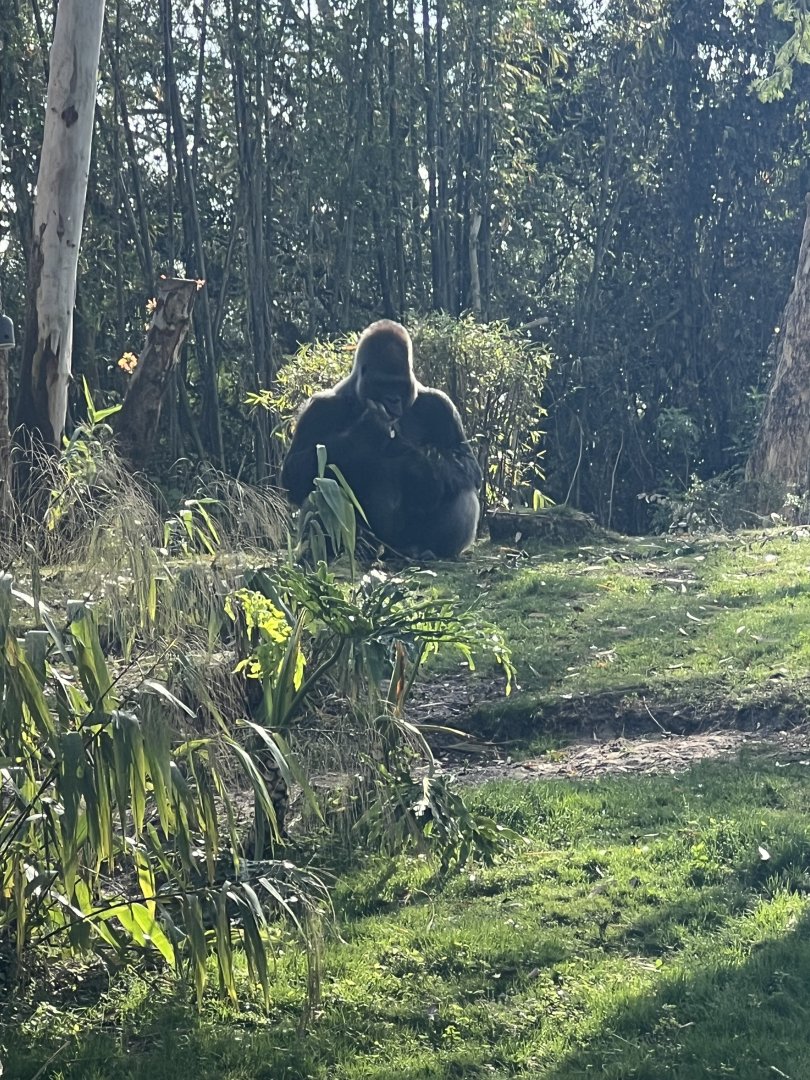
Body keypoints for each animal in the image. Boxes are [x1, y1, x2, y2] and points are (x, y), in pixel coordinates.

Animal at [280, 319, 482, 558]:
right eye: (382, 384)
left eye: (399, 385)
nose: (392, 400)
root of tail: (390, 551)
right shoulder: (319, 407)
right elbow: (295, 474)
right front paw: (366, 431)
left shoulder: (440, 405)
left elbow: (468, 466)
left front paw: (419, 464)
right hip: (371, 542)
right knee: (323, 485)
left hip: (404, 543)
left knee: (460, 487)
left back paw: (431, 550)